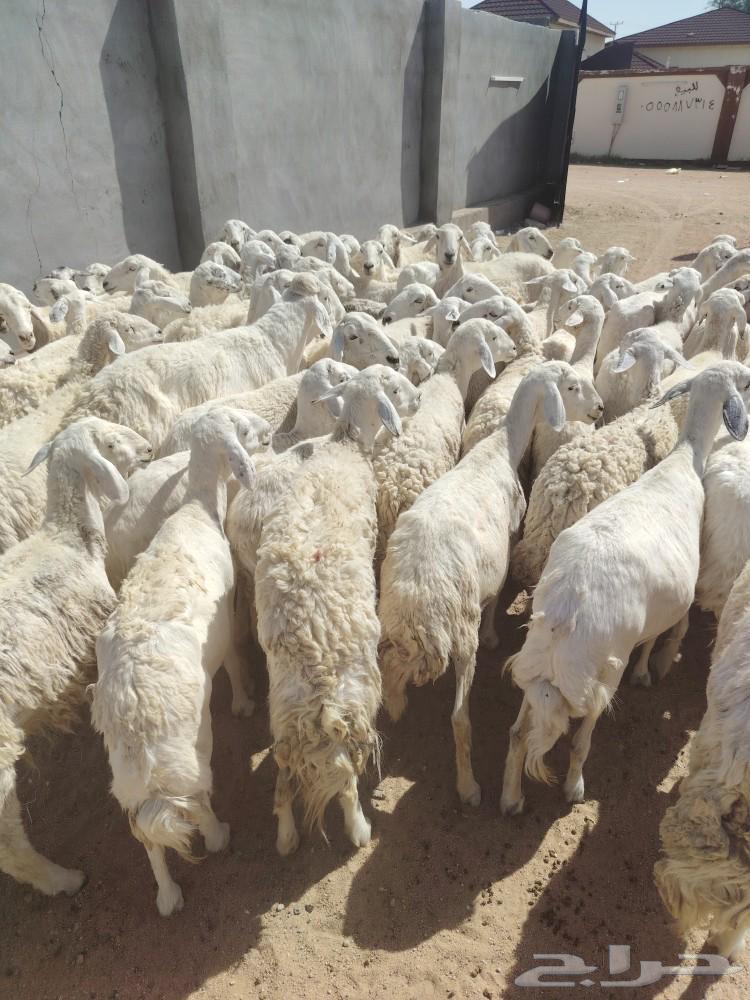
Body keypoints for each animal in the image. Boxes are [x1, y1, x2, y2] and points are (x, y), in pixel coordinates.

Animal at [92, 408, 268, 915]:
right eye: (242, 431)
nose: (268, 429)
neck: (197, 508)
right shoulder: (227, 618)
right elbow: (234, 663)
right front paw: (245, 701)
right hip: (189, 756)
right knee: (198, 801)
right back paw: (217, 836)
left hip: (129, 787)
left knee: (149, 837)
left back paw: (167, 896)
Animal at [254, 366, 421, 855]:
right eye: (394, 388)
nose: (419, 398)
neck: (345, 442)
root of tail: (320, 687)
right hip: (356, 705)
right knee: (346, 780)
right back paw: (359, 829)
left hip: (285, 716)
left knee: (284, 779)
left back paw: (286, 836)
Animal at [380, 362, 600, 806]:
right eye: (571, 386)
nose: (600, 409)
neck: (501, 448)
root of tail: (416, 605)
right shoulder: (507, 544)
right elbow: (497, 598)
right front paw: (496, 635)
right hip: (462, 635)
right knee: (459, 719)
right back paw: (469, 787)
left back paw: (396, 704)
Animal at [500, 362, 750, 816]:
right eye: (743, 383)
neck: (684, 459)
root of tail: (566, 617)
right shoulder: (675, 598)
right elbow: (659, 638)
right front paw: (647, 672)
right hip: (599, 679)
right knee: (580, 743)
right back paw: (574, 787)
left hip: (531, 670)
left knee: (516, 734)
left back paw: (511, 799)